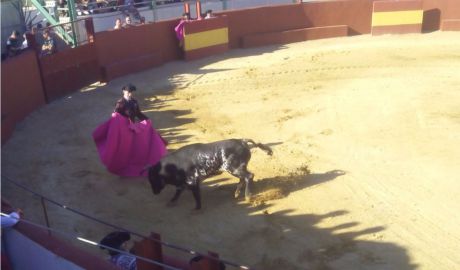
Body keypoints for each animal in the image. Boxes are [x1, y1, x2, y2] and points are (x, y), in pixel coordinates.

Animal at [146, 138, 274, 210]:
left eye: (152, 179)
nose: (154, 192)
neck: (173, 166)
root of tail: (242, 141)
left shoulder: (192, 181)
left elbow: (196, 195)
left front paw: (197, 209)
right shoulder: (183, 184)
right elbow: (177, 193)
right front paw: (171, 203)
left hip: (232, 168)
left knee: (249, 176)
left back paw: (247, 196)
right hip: (236, 169)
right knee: (243, 178)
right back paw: (237, 194)